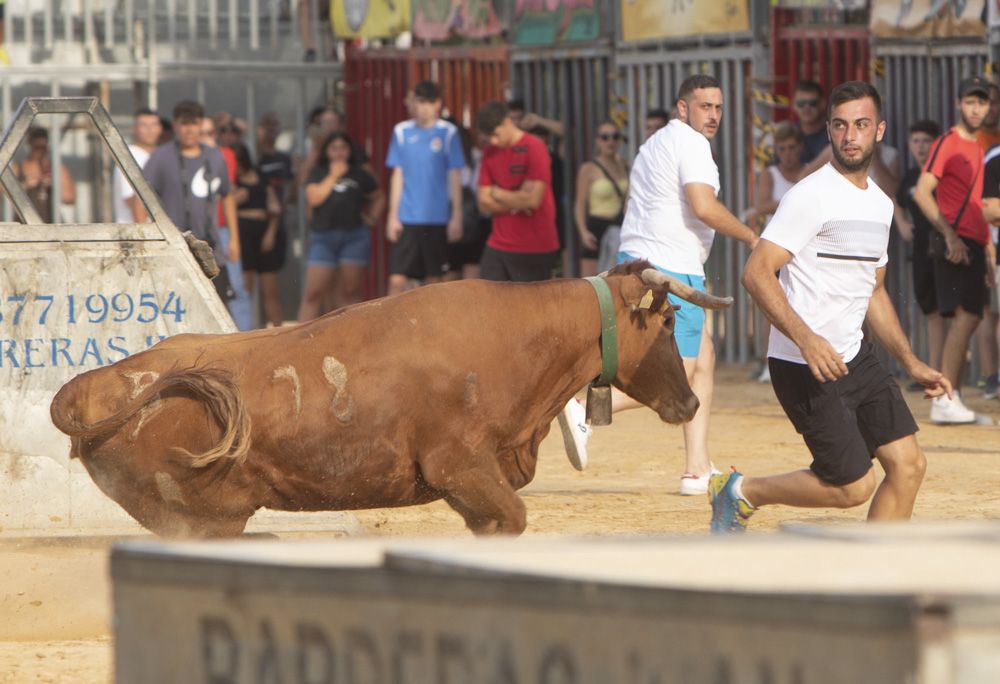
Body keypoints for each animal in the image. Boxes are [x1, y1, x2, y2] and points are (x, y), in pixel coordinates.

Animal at [48, 260, 728, 536]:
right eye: (669, 321)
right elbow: (512, 517)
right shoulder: (464, 468)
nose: (691, 404)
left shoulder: (471, 493)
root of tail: (93, 385)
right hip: (197, 521)